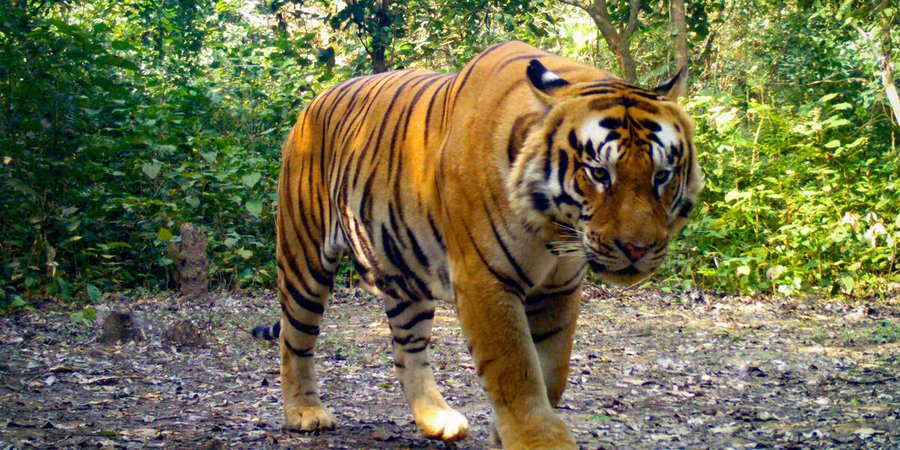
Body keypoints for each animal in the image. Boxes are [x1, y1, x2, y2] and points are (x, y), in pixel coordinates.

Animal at [255, 41, 702, 449]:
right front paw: (538, 441)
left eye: (662, 175)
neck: (556, 228)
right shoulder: (485, 279)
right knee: (294, 339)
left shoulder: (560, 288)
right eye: (598, 173)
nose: (636, 248)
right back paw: (305, 412)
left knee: (407, 349)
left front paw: (506, 431)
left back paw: (436, 420)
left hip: (404, 274)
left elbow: (552, 369)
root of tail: (315, 100)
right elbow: (516, 370)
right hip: (304, 258)